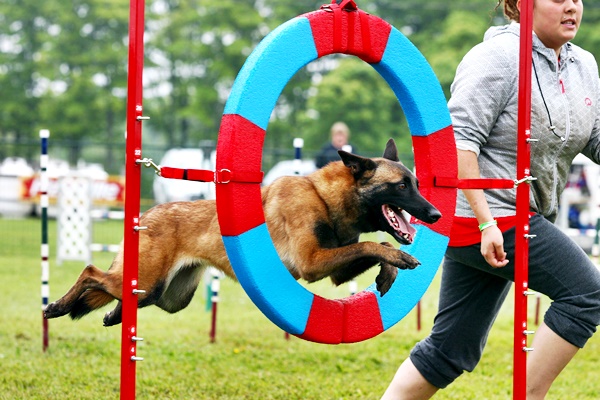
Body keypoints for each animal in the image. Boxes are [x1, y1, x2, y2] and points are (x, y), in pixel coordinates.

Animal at [44, 139, 440, 326]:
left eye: (417, 184)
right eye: (401, 186)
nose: (435, 214)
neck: (324, 197)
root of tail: (146, 215)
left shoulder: (335, 271)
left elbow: (376, 244)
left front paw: (389, 271)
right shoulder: (313, 263)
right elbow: (376, 243)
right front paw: (399, 259)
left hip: (165, 296)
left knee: (119, 293)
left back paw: (114, 315)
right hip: (147, 278)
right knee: (90, 271)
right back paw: (57, 306)